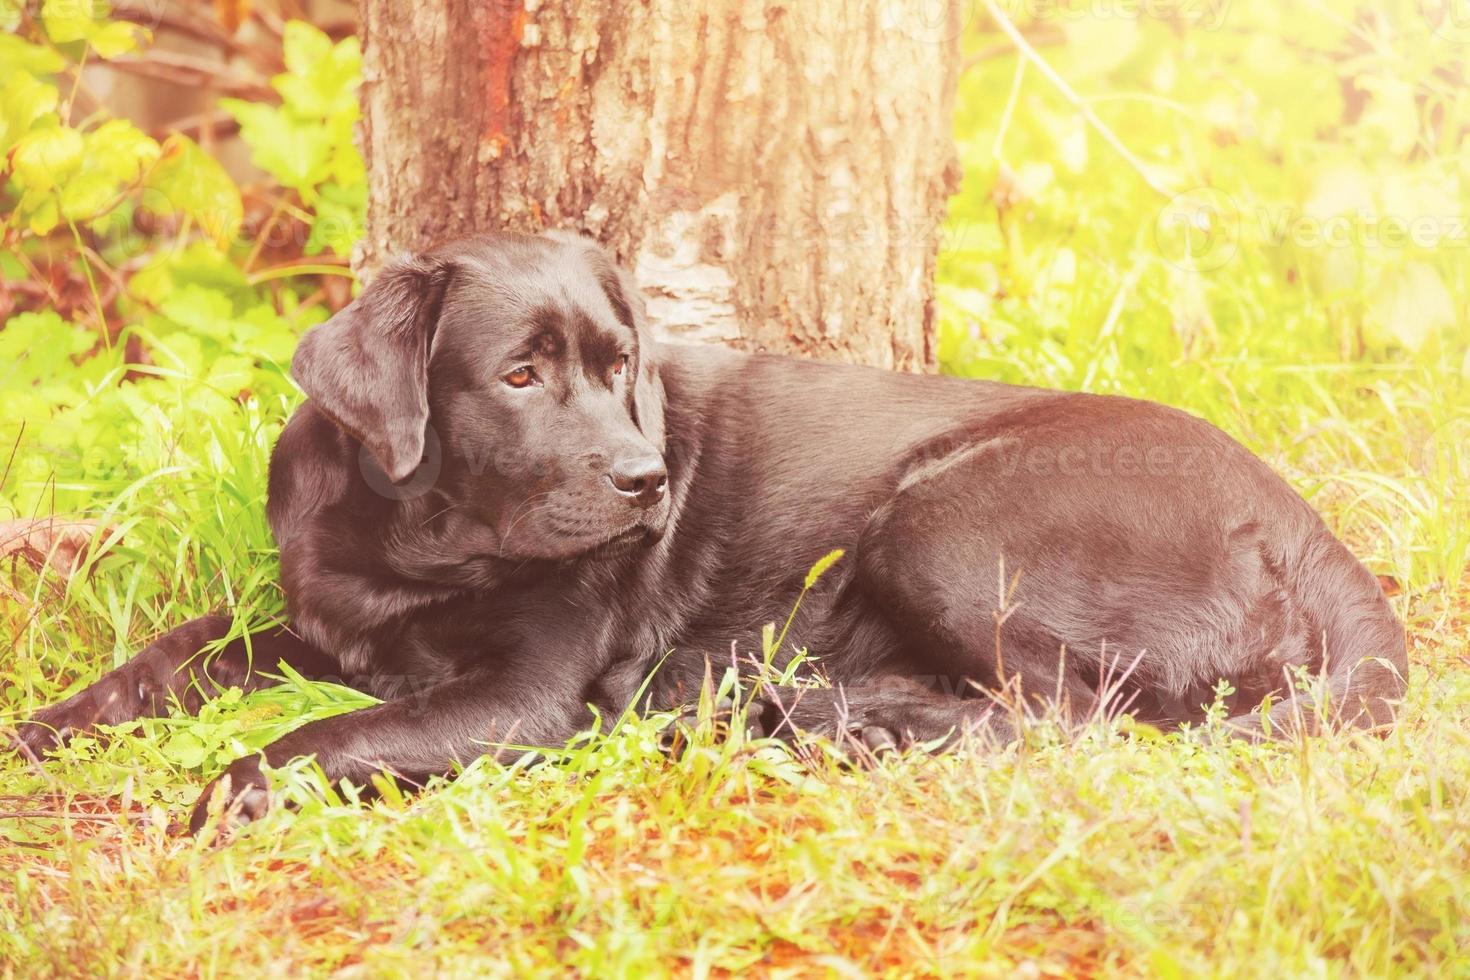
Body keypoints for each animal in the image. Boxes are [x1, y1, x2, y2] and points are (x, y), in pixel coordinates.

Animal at [14, 230, 1411, 828]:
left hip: (944, 518)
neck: (418, 544)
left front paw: (228, 788)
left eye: (620, 362)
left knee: (1072, 723)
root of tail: (1310, 528)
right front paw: (42, 728)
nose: (647, 480)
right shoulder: (312, 616)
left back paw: (805, 711)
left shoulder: (520, 699)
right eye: (518, 374)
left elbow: (328, 733)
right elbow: (173, 655)